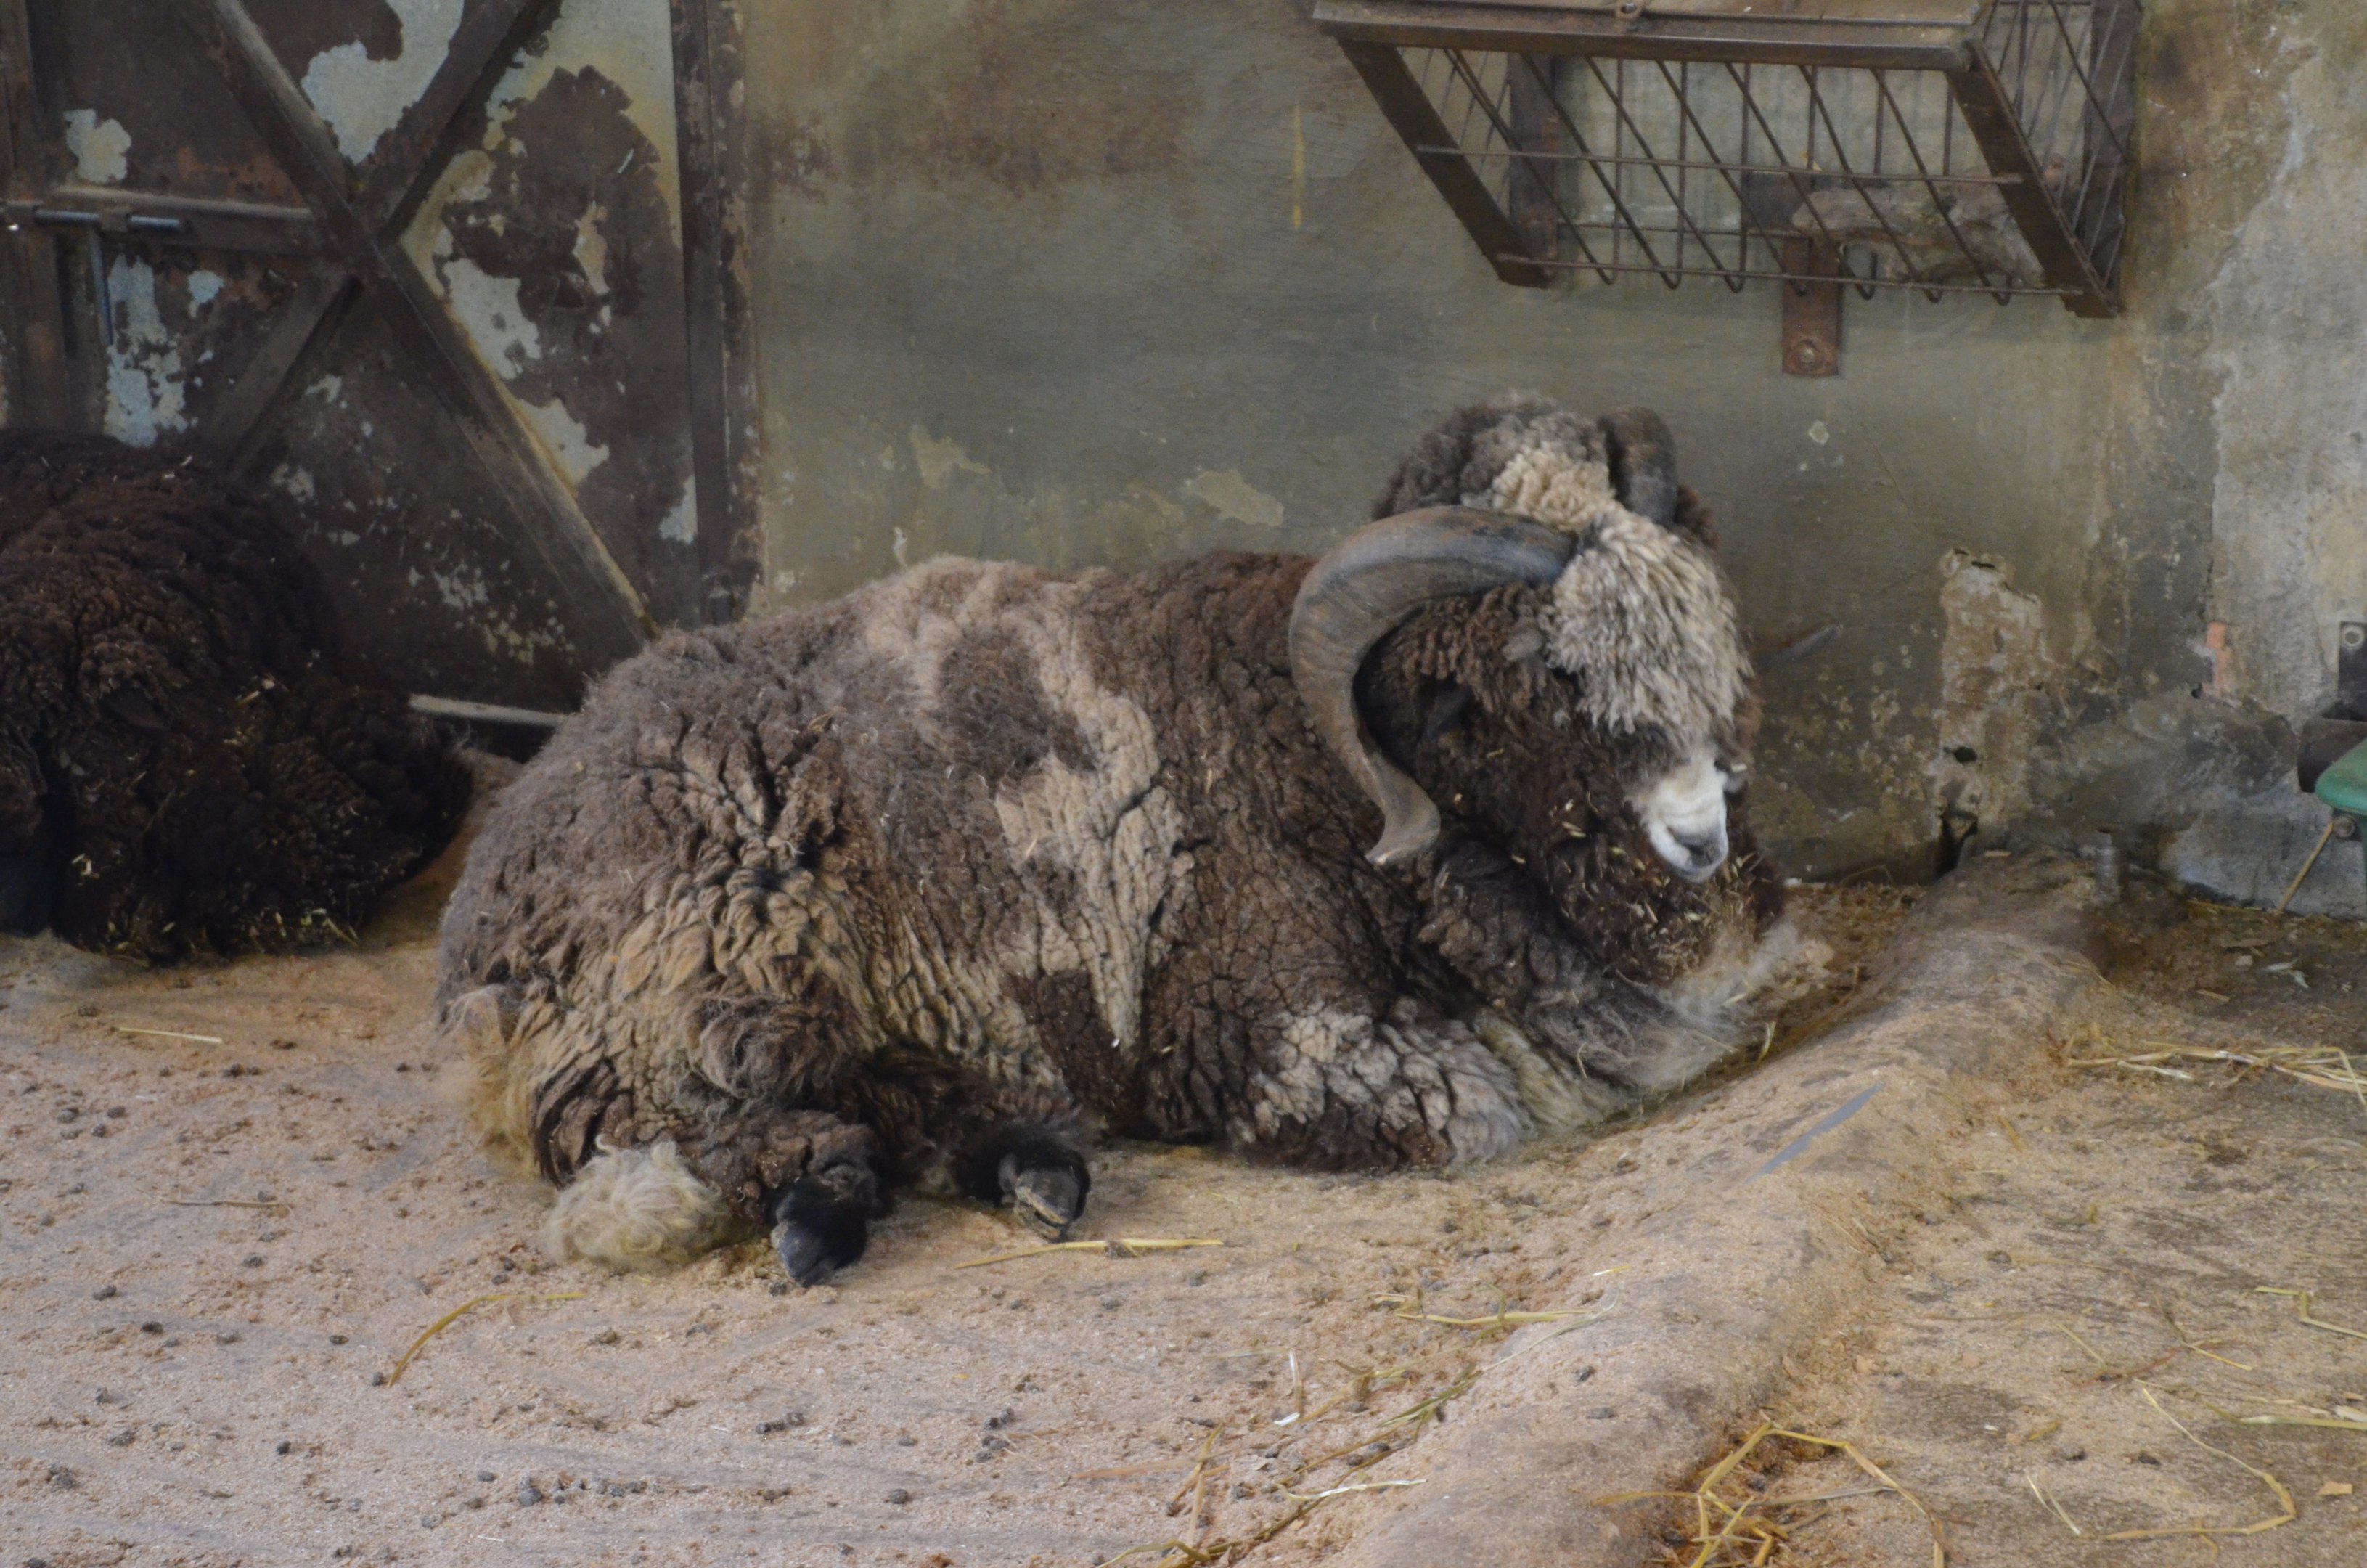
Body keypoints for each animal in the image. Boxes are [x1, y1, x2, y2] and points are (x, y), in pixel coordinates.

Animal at [437, 397, 1792, 1285]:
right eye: (1547, 677)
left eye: (1708, 644)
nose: (1699, 838)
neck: (1320, 751)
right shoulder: (1283, 1037)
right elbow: (1481, 1110)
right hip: (695, 987)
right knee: (688, 1134)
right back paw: (818, 1211)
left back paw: (1026, 1166)